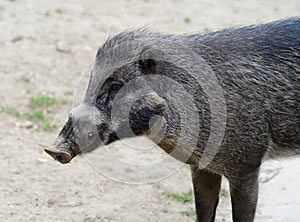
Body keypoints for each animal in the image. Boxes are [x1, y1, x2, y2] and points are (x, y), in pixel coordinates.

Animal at [45, 17, 300, 222]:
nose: (53, 150)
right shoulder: (202, 166)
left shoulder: (247, 164)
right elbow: (204, 212)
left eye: (116, 86)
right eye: (90, 83)